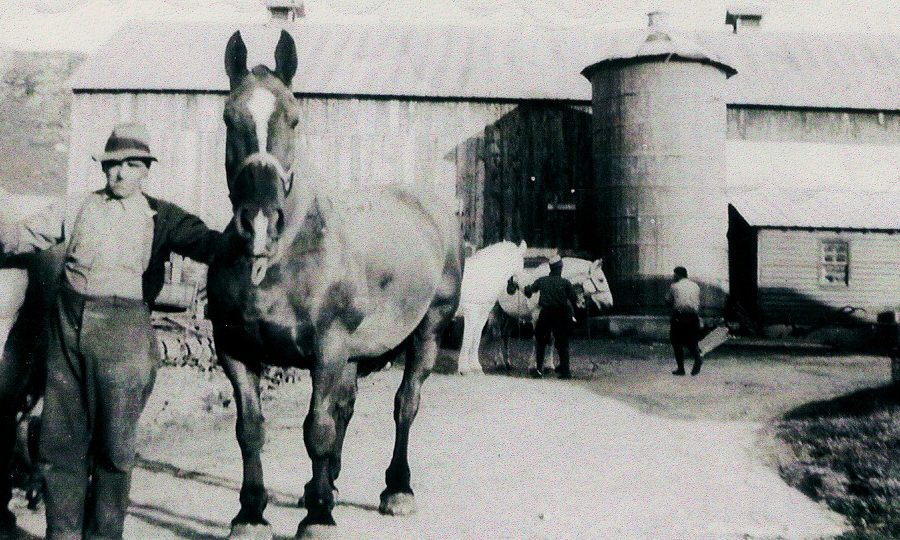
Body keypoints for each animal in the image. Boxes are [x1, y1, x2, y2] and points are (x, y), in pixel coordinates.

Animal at [205, 30, 462, 538]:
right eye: (229, 117)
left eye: (293, 118)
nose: (259, 222)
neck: (279, 261)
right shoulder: (236, 351)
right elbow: (251, 430)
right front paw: (251, 512)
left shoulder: (328, 350)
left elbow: (318, 429)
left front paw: (318, 517)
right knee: (347, 406)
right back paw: (323, 486)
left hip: (427, 331)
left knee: (405, 404)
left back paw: (396, 489)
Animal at [456, 240, 527, 375]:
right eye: (520, 265)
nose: (511, 289)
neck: (483, 277)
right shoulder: (471, 312)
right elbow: (468, 338)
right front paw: (464, 369)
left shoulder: (483, 314)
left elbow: (476, 338)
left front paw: (476, 368)